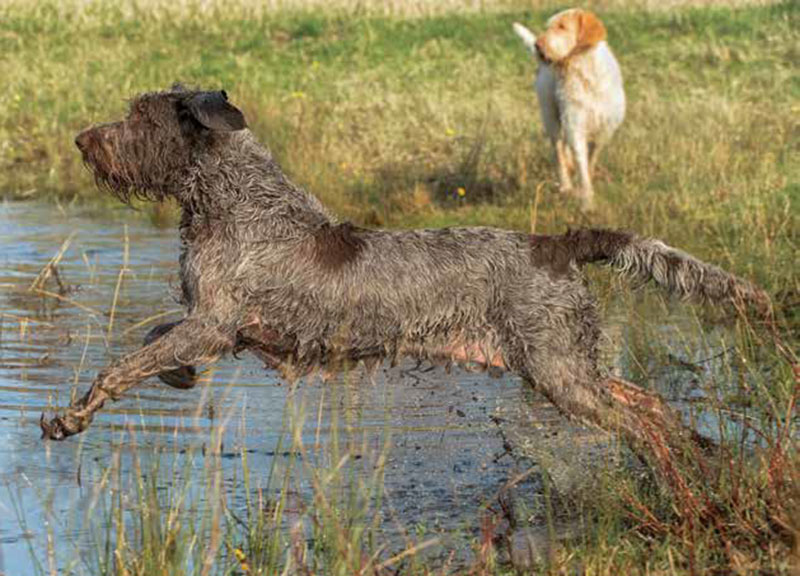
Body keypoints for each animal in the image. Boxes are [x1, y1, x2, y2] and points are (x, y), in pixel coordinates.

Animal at [42, 86, 768, 482]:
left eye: (141, 119)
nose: (80, 140)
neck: (231, 200)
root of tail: (555, 244)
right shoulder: (212, 326)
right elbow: (156, 339)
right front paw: (178, 376)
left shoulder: (216, 322)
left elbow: (122, 364)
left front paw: (70, 417)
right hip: (565, 364)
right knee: (653, 405)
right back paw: (695, 458)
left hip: (559, 371)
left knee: (639, 422)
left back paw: (676, 477)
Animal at [512, 9, 624, 209]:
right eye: (549, 26)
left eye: (562, 26)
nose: (537, 45)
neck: (584, 71)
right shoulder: (575, 125)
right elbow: (581, 165)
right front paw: (587, 201)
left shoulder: (604, 129)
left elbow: (592, 158)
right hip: (551, 117)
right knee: (558, 152)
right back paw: (565, 185)